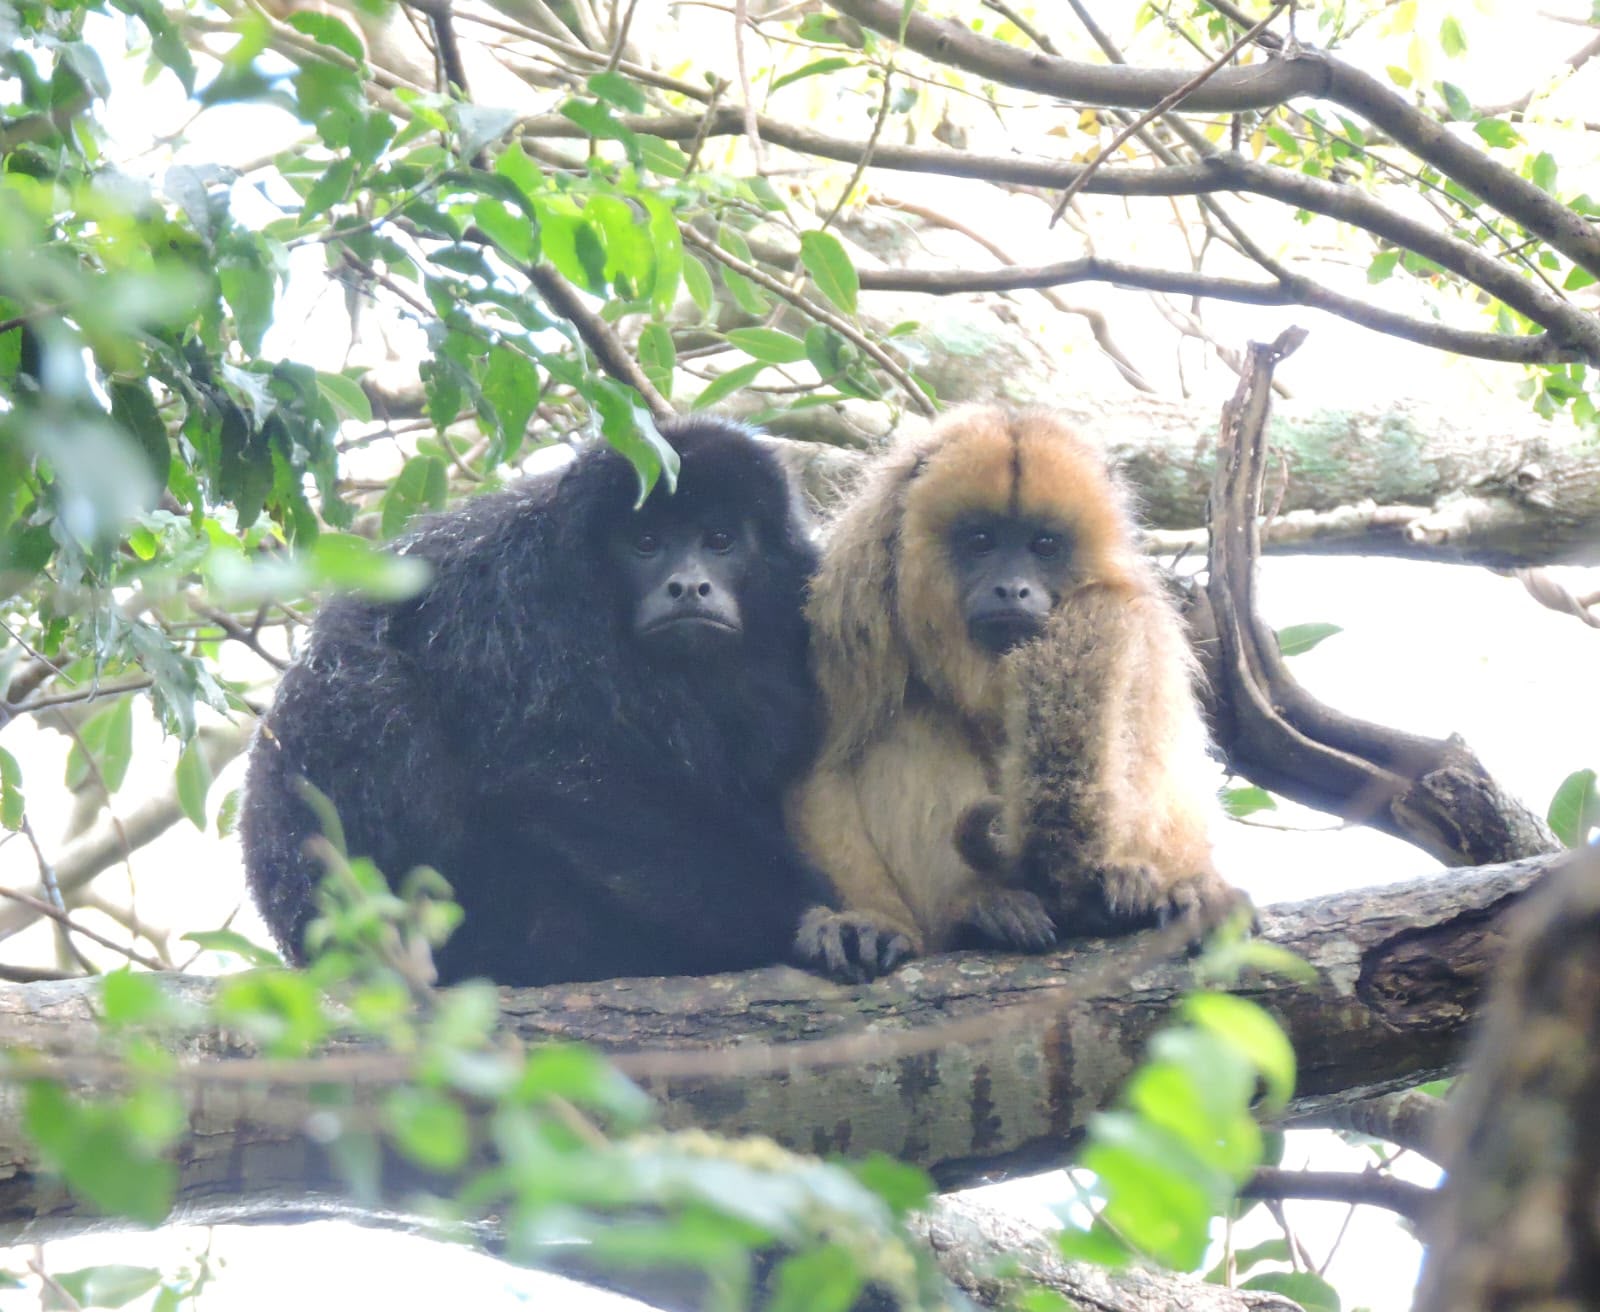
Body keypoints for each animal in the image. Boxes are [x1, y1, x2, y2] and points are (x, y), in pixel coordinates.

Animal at [242, 414, 852, 987]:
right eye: (646, 543)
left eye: (719, 540)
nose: (687, 585)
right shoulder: (514, 596)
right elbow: (556, 773)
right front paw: (809, 916)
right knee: (367, 688)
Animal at [790, 405, 1239, 980]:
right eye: (981, 541)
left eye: (1043, 545)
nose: (1012, 588)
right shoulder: (850, 602)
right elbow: (822, 770)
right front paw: (873, 921)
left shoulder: (1145, 621)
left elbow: (1164, 759)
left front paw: (1184, 883)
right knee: (911, 722)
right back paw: (981, 910)